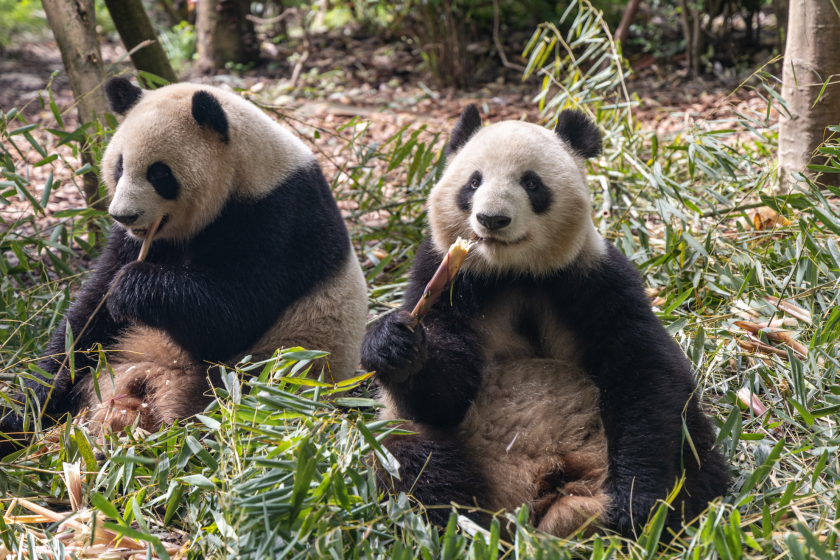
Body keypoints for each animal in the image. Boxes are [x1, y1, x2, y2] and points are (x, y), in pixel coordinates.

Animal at [0, 77, 368, 443]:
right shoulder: (140, 241)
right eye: (119, 166)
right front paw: (26, 403)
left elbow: (232, 315)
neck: (245, 170)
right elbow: (87, 319)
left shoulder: (278, 219)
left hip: (268, 377)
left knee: (231, 408)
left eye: (159, 174)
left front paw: (131, 287)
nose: (123, 216)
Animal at [360, 105, 729, 538]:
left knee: (692, 449)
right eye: (473, 182)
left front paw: (635, 504)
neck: (514, 271)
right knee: (413, 460)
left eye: (531, 183)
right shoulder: (444, 277)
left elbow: (643, 373)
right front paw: (392, 343)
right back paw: (468, 524)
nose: (492, 219)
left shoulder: (594, 278)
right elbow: (445, 395)